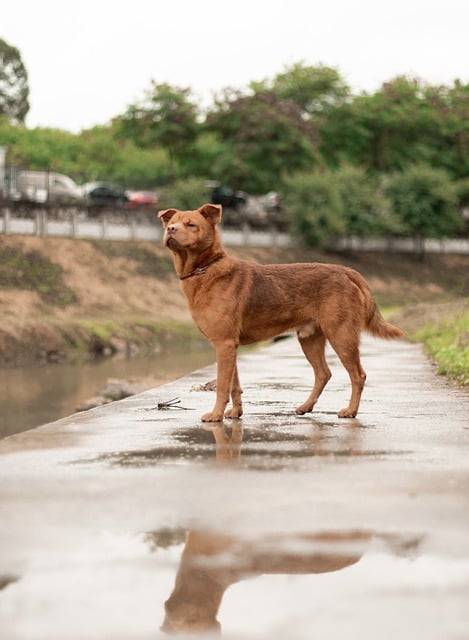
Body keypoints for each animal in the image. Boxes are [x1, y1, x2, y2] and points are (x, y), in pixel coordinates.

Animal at [157, 204, 402, 420]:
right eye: (170, 222)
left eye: (191, 224)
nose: (171, 230)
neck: (206, 268)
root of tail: (347, 271)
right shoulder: (230, 345)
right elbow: (235, 385)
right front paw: (235, 413)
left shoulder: (224, 343)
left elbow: (223, 386)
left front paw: (216, 415)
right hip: (310, 338)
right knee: (323, 373)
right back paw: (305, 407)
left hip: (341, 335)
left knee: (358, 375)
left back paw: (350, 411)